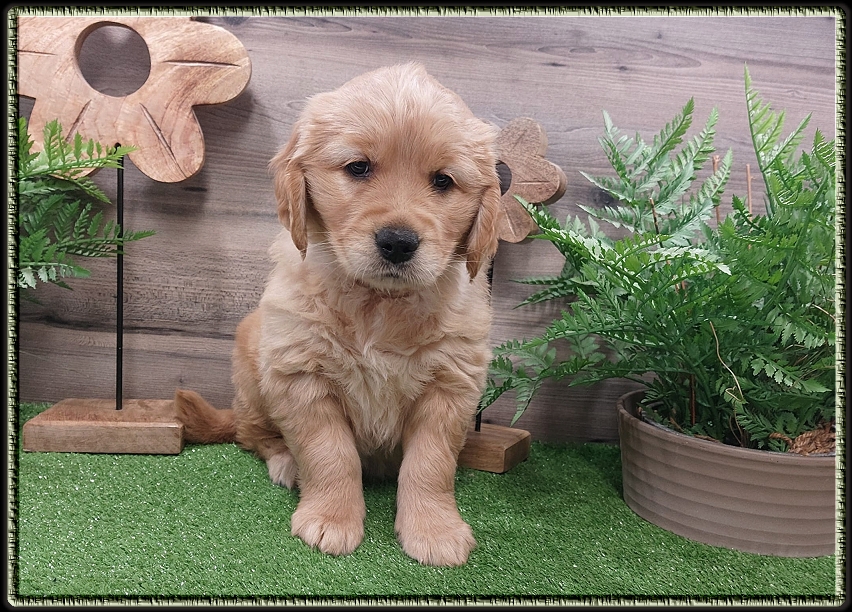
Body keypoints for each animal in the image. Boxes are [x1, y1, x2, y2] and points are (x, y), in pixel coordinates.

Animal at [174, 62, 501, 567]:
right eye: (358, 167)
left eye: (443, 181)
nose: (398, 242)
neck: (379, 303)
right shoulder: (301, 376)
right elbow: (331, 455)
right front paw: (330, 519)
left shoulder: (451, 384)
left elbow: (431, 464)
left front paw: (434, 530)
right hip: (252, 372)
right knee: (252, 434)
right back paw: (285, 462)